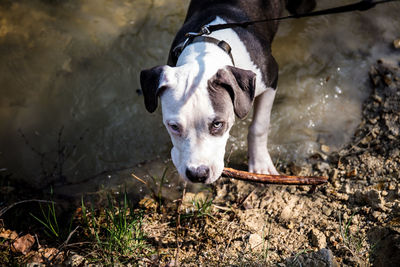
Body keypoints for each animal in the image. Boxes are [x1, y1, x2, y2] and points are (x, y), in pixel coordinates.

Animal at [141, 0, 316, 184]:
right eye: (174, 126)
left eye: (218, 124)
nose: (197, 174)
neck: (205, 52)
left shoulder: (271, 79)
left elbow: (259, 126)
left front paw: (260, 164)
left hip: (300, 8)